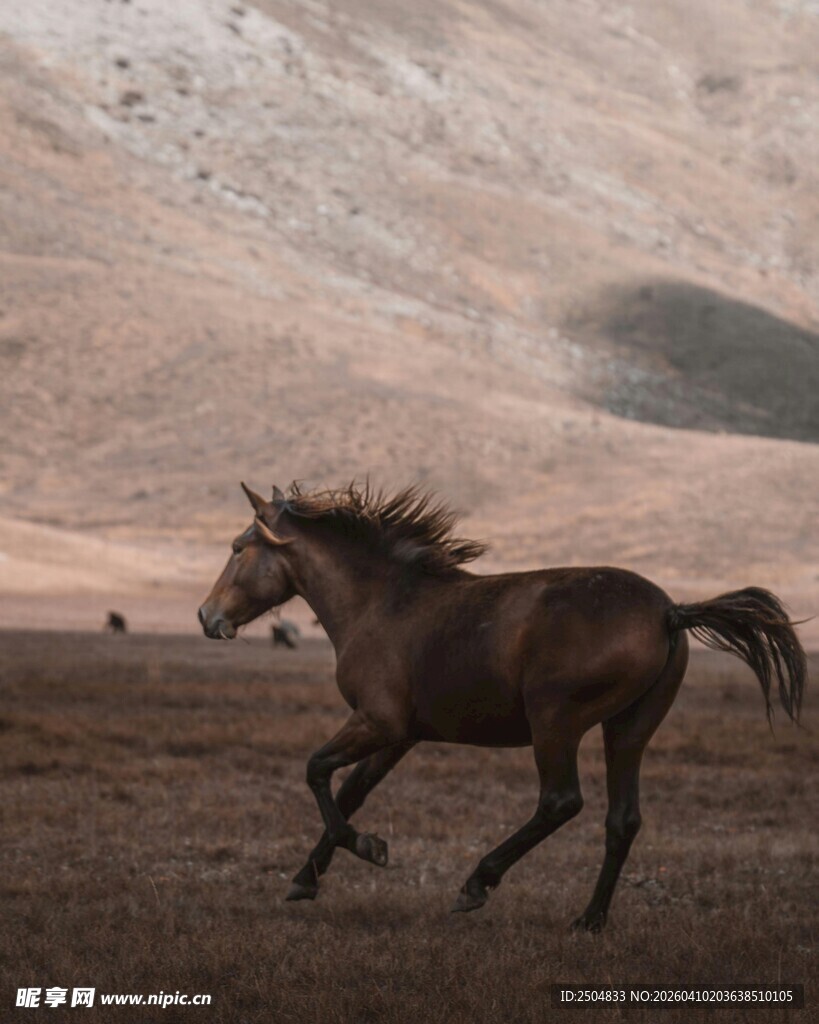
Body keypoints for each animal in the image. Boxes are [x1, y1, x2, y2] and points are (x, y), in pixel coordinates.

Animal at [197, 481, 807, 929]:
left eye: (237, 548)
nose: (206, 617)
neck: (381, 604)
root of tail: (670, 611)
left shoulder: (378, 721)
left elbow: (317, 771)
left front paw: (369, 848)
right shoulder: (399, 733)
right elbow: (352, 790)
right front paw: (307, 877)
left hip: (555, 721)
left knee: (561, 802)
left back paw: (478, 883)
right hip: (628, 728)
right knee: (622, 819)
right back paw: (589, 919)